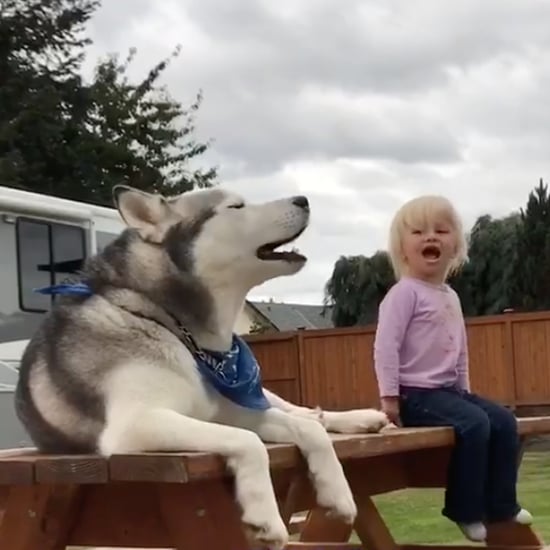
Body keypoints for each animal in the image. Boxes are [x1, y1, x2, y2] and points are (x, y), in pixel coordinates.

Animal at [14, 187, 392, 550]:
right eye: (236, 207)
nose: (304, 199)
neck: (173, 326)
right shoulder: (137, 425)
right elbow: (248, 440)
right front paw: (265, 516)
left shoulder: (227, 408)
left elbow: (306, 431)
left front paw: (337, 492)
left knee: (302, 413)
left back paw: (356, 418)